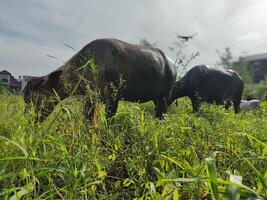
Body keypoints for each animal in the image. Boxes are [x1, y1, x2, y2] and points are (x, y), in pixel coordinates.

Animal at [23, 38, 178, 121]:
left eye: (33, 98)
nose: (27, 120)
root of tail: (172, 64)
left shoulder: (113, 99)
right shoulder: (90, 98)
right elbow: (87, 118)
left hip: (166, 95)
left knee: (160, 115)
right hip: (157, 98)